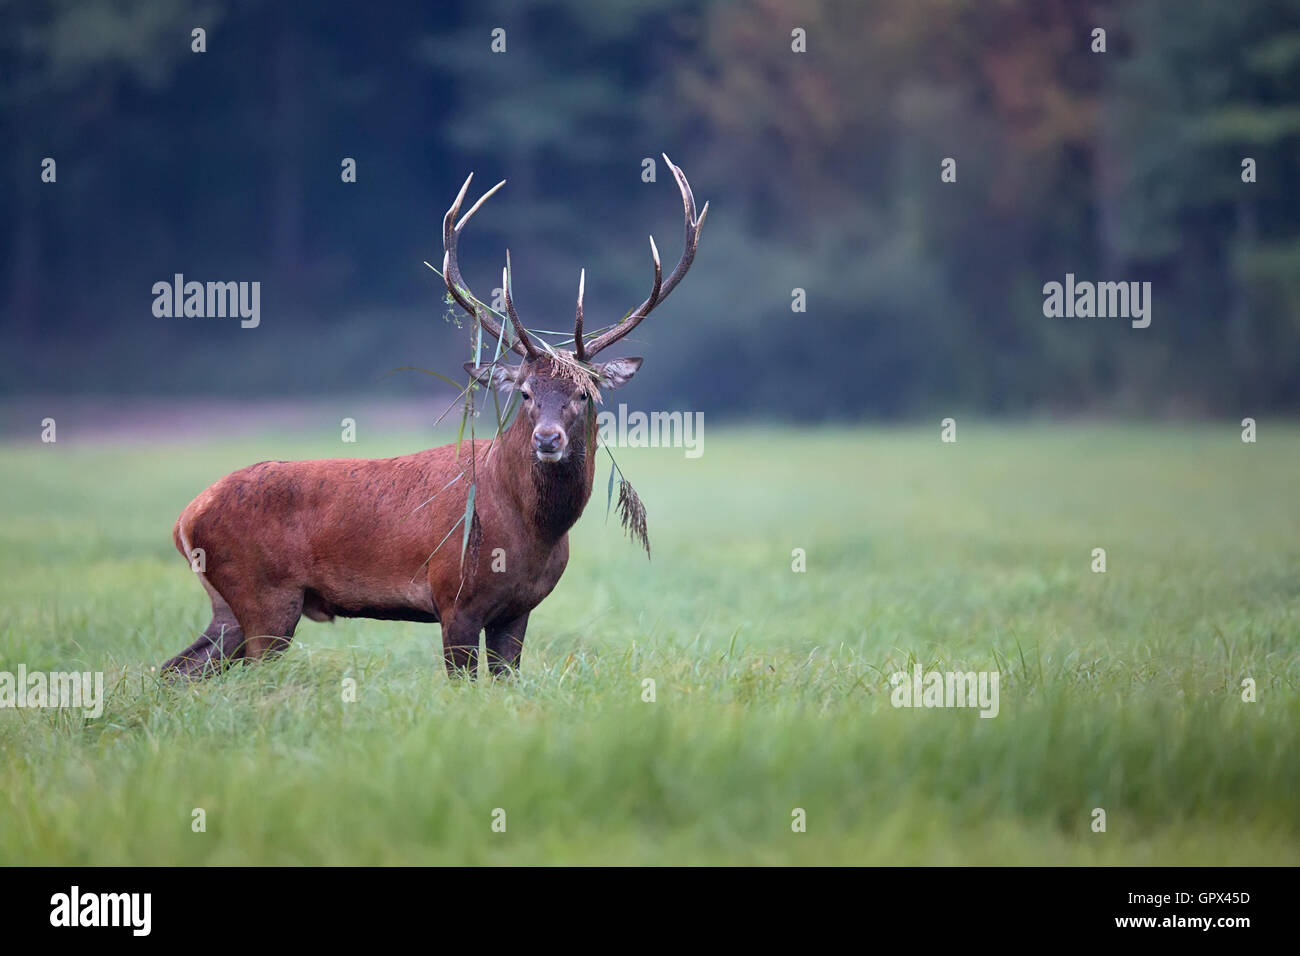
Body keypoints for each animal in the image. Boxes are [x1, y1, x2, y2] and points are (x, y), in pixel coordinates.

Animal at [161, 155, 707, 679]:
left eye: (584, 392)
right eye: (525, 392)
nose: (548, 439)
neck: (530, 529)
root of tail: (185, 517)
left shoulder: (519, 610)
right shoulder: (454, 597)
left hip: (229, 606)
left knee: (176, 669)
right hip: (265, 594)